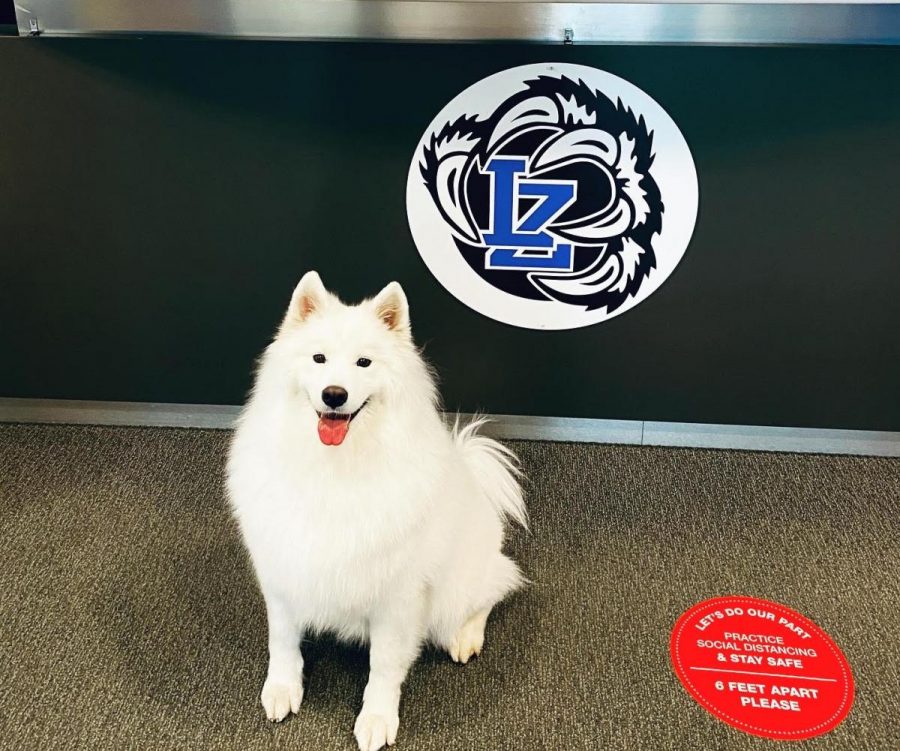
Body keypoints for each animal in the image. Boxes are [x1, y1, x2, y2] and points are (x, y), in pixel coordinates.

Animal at [224, 272, 528, 751]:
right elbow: (283, 640)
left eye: (364, 363)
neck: (334, 469)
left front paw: (377, 719)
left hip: (457, 588)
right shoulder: (283, 570)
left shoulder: (397, 599)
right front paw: (282, 689)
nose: (334, 394)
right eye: (319, 358)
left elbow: (384, 667)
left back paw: (466, 636)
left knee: (495, 590)